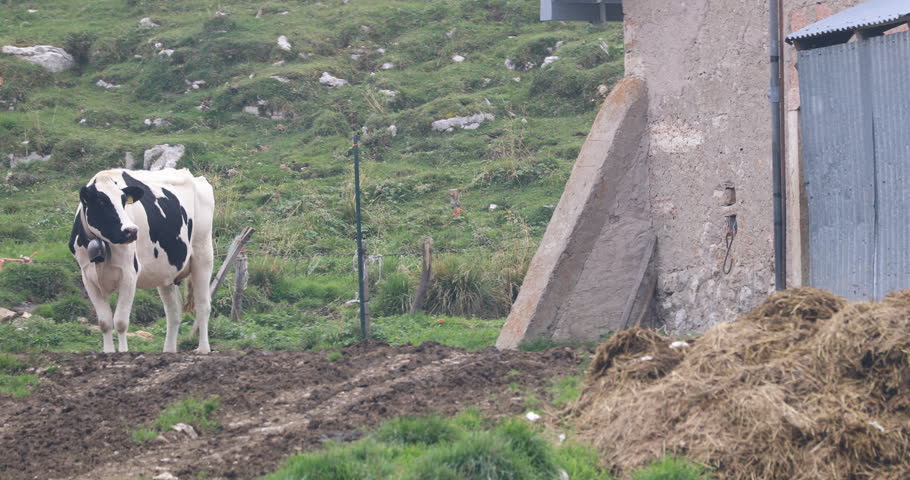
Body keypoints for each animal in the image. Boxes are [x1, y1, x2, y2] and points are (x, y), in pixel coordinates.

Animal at [69, 168, 215, 353]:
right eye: (101, 202)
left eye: (124, 200)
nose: (131, 231)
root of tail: (193, 176)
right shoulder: (88, 276)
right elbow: (105, 322)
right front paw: (108, 353)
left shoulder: (129, 274)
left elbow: (120, 321)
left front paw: (123, 352)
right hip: (165, 271)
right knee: (174, 311)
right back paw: (168, 351)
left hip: (203, 254)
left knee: (203, 305)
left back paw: (203, 349)